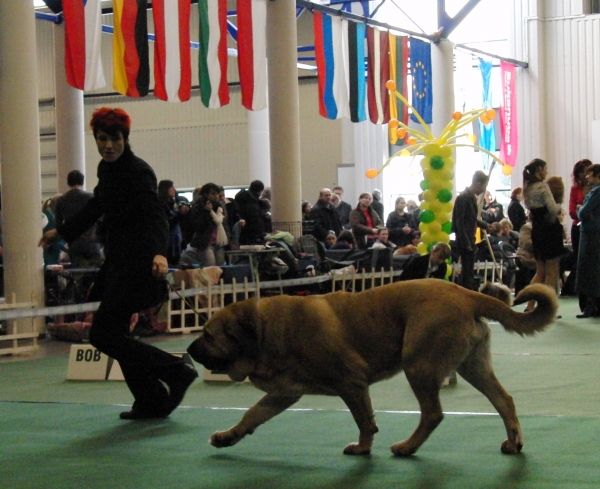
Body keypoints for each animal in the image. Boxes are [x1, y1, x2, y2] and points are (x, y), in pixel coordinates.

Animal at [188, 280, 556, 456]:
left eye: (208, 335)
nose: (189, 349)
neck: (265, 330)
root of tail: (465, 293)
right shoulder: (283, 393)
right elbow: (252, 415)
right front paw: (227, 437)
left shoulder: (351, 383)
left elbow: (364, 420)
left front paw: (363, 448)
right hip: (472, 366)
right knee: (504, 401)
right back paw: (513, 443)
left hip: (418, 365)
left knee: (433, 414)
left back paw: (407, 447)